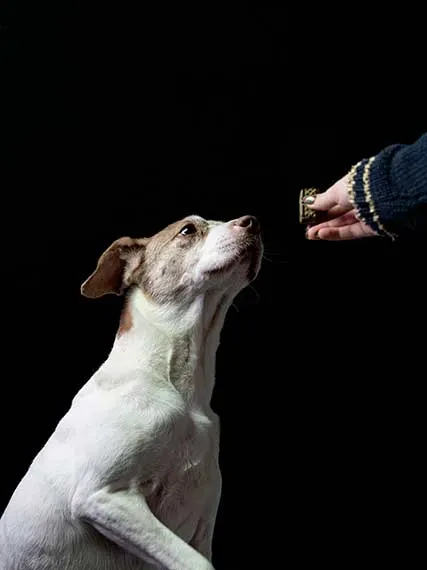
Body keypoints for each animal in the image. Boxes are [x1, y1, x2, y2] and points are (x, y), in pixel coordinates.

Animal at [0, 214, 262, 568]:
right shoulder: (104, 496)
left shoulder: (200, 527)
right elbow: (195, 562)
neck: (178, 384)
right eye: (188, 230)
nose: (254, 222)